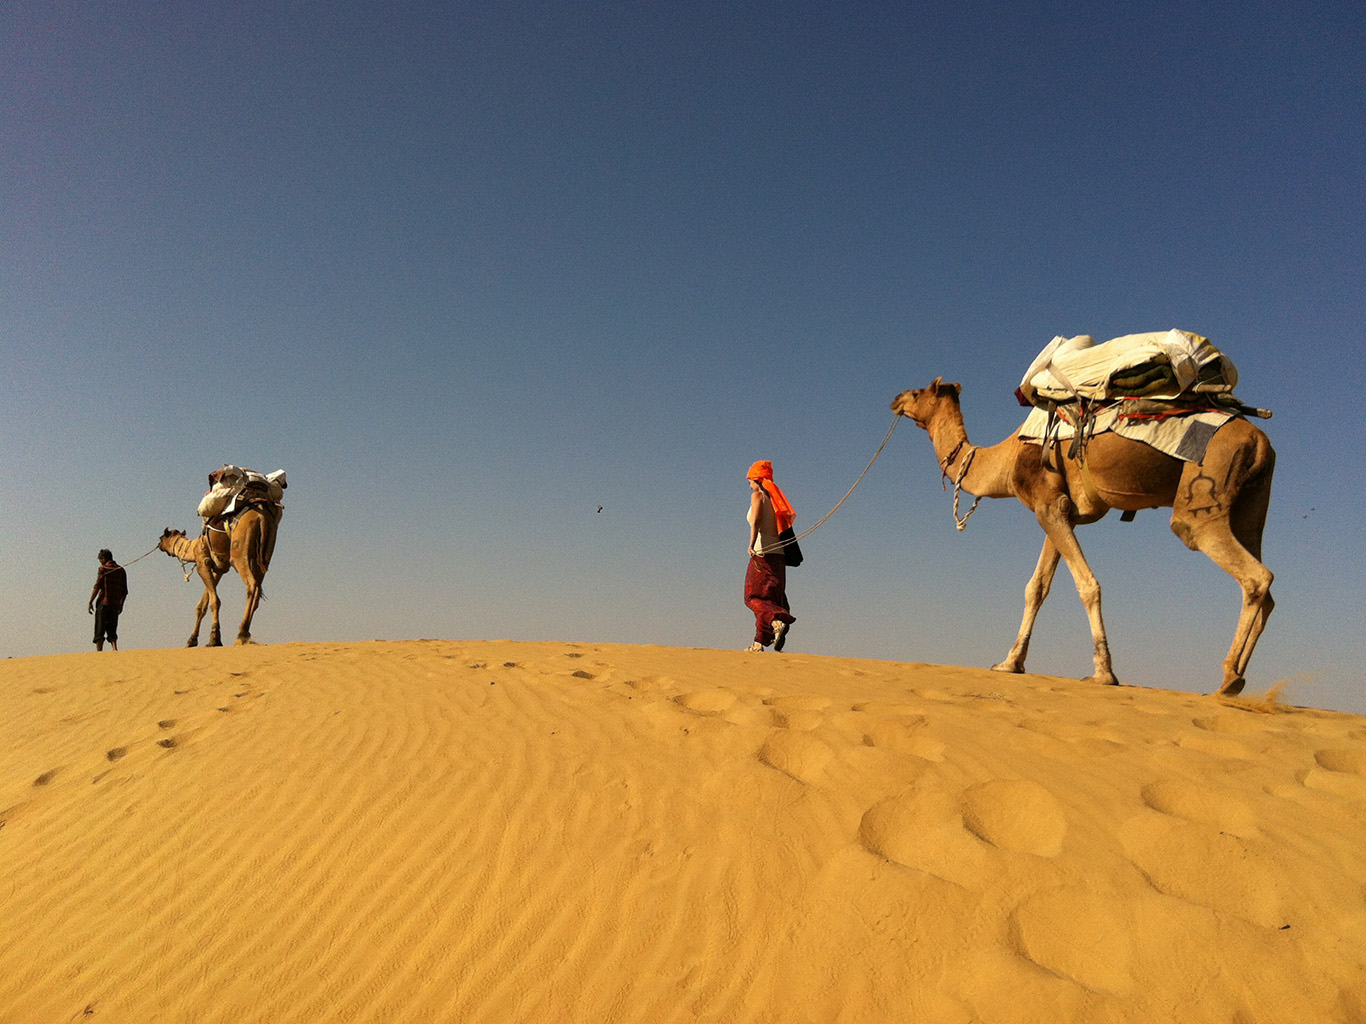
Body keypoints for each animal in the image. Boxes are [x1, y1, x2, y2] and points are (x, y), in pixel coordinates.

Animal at [157, 499, 280, 649]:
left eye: (162, 538)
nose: (159, 545)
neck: (194, 546)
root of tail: (261, 516)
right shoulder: (218, 569)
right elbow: (202, 605)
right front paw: (191, 640)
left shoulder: (202, 562)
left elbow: (214, 601)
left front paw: (214, 638)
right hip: (265, 553)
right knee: (258, 586)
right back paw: (246, 632)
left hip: (239, 551)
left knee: (251, 584)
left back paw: (242, 633)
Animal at [890, 382, 1273, 704]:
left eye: (917, 392)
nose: (895, 399)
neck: (1007, 458)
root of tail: (1259, 441)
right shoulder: (1059, 511)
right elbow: (1036, 588)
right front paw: (1010, 663)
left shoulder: (1048, 505)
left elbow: (1087, 585)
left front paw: (1103, 672)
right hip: (1251, 503)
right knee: (1265, 584)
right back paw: (1235, 681)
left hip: (1206, 486)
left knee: (1250, 572)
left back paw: (1228, 678)